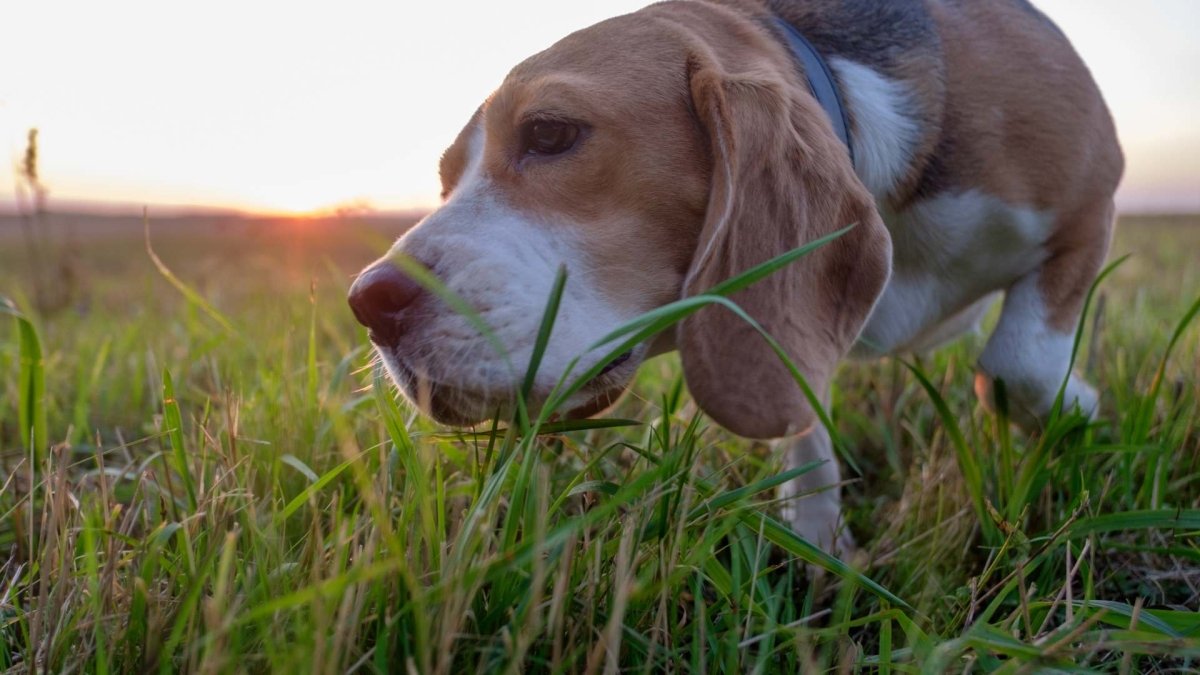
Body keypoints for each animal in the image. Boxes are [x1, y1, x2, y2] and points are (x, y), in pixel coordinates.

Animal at [350, 0, 1123, 550]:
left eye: (549, 133)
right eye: (447, 179)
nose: (369, 303)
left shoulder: (1092, 201)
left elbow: (1017, 363)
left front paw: (1079, 410)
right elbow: (802, 417)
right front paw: (818, 542)